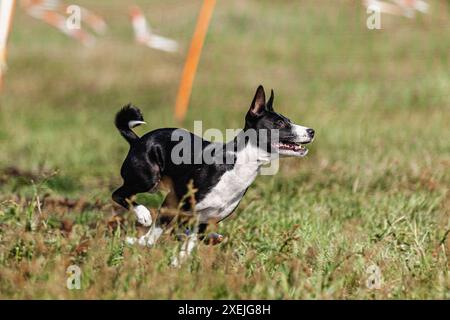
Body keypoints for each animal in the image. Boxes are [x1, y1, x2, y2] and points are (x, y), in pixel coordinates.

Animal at [112, 85, 314, 264]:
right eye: (279, 123)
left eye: (289, 120)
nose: (311, 131)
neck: (239, 164)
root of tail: (137, 140)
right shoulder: (182, 206)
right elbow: (175, 233)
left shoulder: (202, 219)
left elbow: (190, 240)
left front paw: (179, 261)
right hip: (148, 179)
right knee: (119, 195)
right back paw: (142, 215)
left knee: (162, 232)